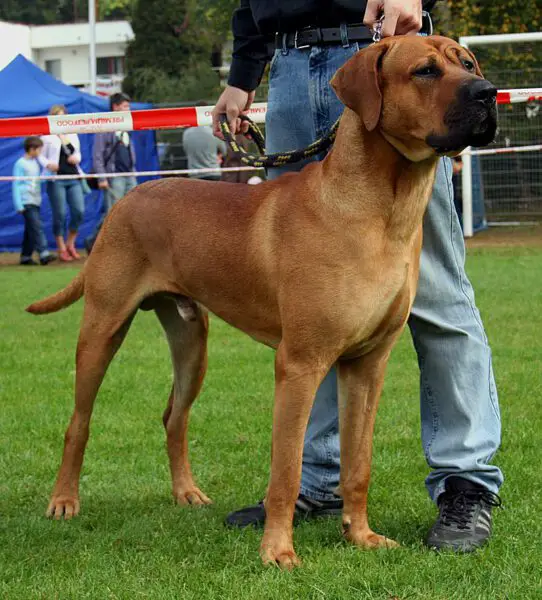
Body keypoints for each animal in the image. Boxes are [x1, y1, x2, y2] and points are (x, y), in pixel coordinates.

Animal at [27, 35, 500, 568]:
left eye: (468, 63)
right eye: (424, 71)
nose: (487, 92)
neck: (384, 209)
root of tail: (125, 201)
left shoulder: (366, 365)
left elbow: (358, 465)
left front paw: (359, 535)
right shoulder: (300, 364)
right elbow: (287, 468)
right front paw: (277, 549)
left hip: (192, 344)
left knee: (174, 416)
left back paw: (185, 492)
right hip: (102, 329)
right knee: (78, 423)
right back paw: (64, 500)